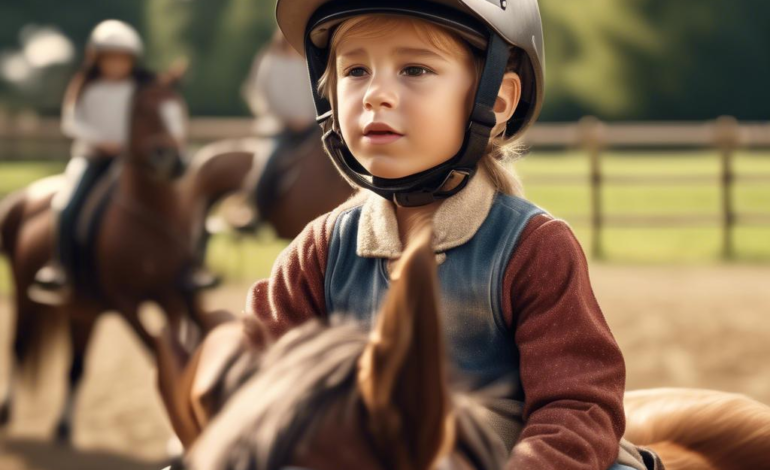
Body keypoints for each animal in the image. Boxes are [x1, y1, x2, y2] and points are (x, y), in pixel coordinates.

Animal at [0, 69, 252, 440]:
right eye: (145, 111)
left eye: (179, 110)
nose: (173, 160)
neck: (146, 218)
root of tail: (26, 198)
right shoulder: (125, 302)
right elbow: (155, 353)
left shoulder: (170, 296)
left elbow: (180, 348)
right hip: (24, 294)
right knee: (18, 347)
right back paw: (8, 410)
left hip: (82, 311)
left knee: (75, 365)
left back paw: (64, 426)